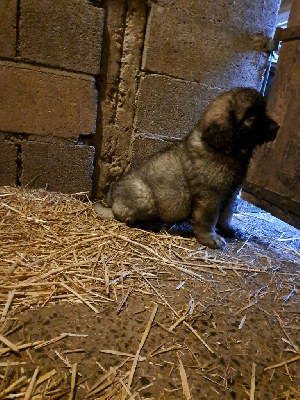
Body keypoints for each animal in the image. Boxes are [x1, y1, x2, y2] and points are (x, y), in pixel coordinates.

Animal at [94, 89, 278, 248]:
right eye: (251, 116)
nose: (276, 128)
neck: (226, 150)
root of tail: (111, 198)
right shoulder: (210, 197)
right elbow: (208, 221)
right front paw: (210, 239)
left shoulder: (230, 194)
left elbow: (226, 216)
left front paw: (228, 230)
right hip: (144, 197)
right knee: (126, 218)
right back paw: (154, 224)